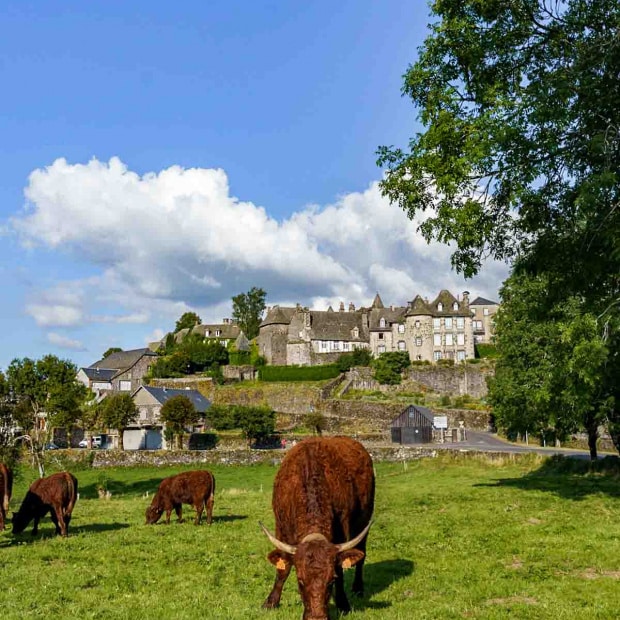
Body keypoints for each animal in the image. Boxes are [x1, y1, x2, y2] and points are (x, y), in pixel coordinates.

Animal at [260, 436, 376, 620]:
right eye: (300, 581)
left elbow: (341, 570)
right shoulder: (281, 529)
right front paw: (271, 602)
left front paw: (343, 603)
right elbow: (282, 569)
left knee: (361, 554)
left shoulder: (343, 530)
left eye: (331, 581)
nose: (317, 618)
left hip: (364, 520)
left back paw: (358, 588)